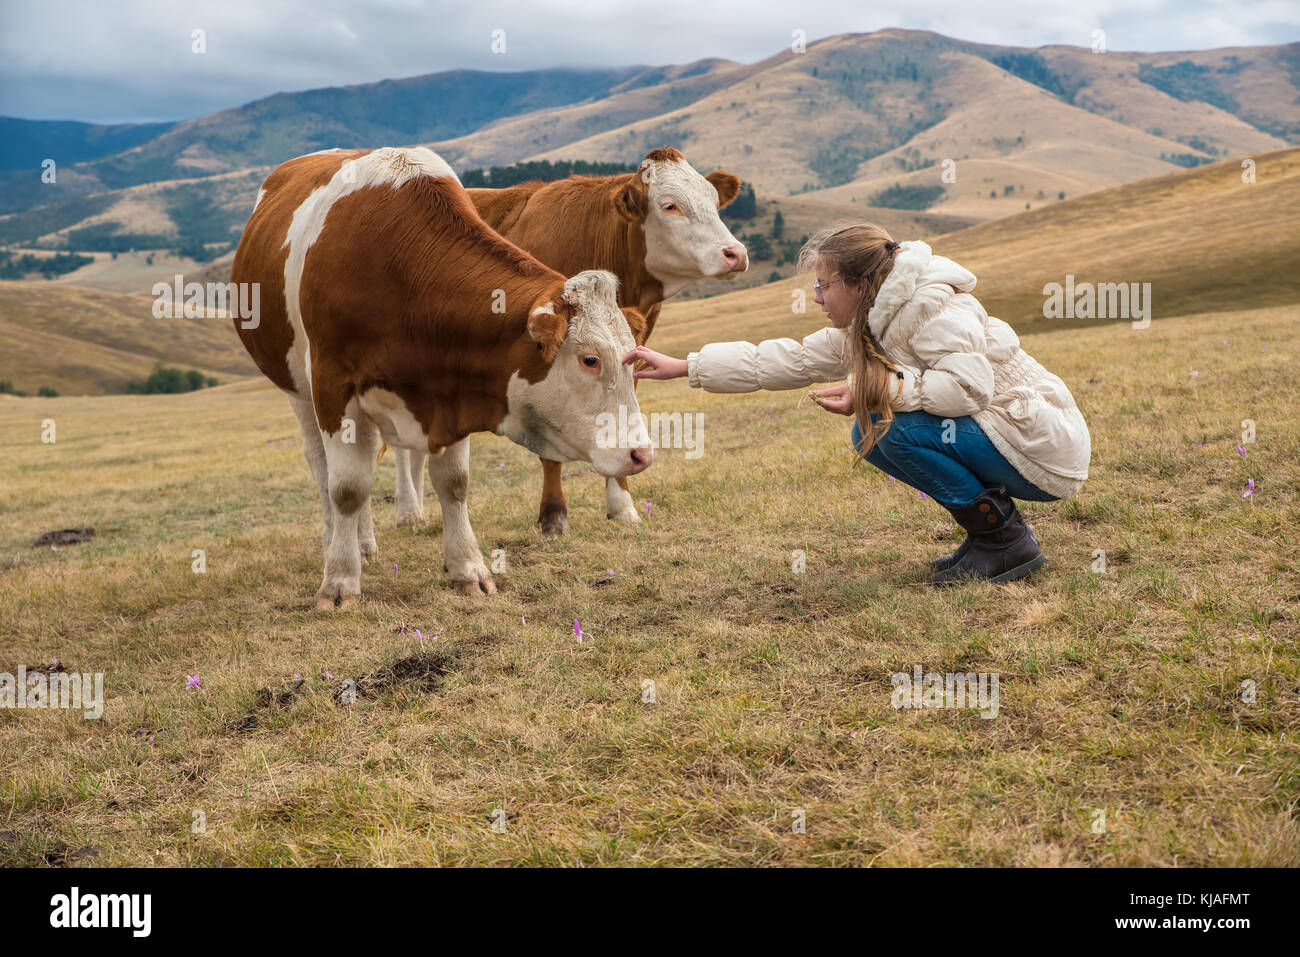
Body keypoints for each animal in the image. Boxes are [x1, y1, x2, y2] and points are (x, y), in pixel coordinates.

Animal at [231, 146, 653, 606]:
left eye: (632, 359)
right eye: (590, 359)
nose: (642, 454)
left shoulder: (452, 390)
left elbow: (453, 484)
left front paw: (467, 567)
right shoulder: (333, 386)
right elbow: (346, 488)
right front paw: (340, 581)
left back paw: (364, 542)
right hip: (298, 389)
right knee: (323, 468)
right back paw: (339, 543)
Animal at [391, 147, 748, 537]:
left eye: (714, 201)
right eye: (670, 206)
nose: (735, 253)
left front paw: (622, 503)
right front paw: (553, 515)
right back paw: (408, 510)